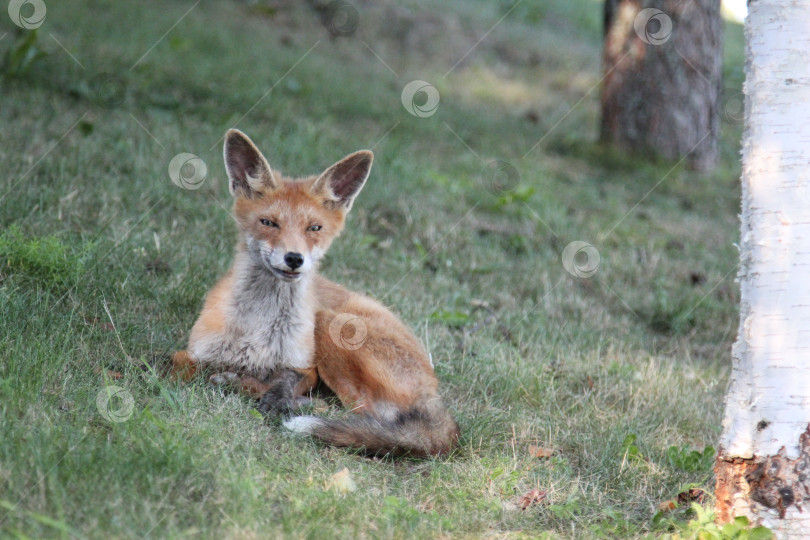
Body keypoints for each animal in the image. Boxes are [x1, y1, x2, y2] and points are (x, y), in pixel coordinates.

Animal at [173, 131, 458, 456]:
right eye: (268, 222)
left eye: (314, 228)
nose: (294, 258)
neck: (258, 329)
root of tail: (434, 392)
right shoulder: (193, 353)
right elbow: (181, 368)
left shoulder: (305, 367)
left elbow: (281, 383)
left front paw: (270, 394)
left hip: (328, 324)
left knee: (362, 416)